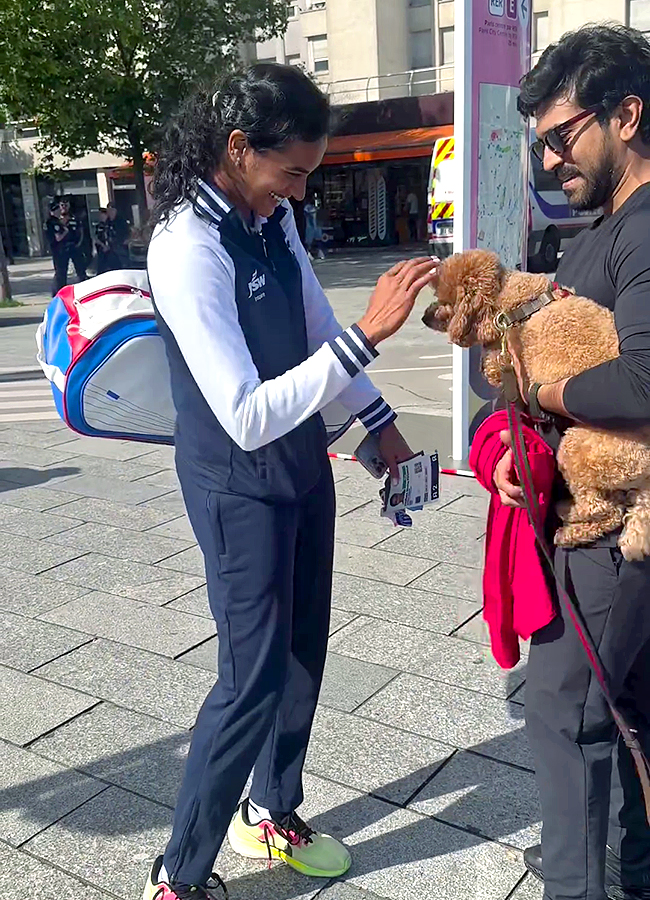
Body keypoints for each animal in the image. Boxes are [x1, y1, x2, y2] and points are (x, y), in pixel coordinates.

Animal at [420, 246, 648, 556]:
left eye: (445, 301)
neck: (517, 300)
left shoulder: (505, 355)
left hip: (579, 449)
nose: (424, 317)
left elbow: (493, 363)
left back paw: (566, 522)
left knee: (603, 510)